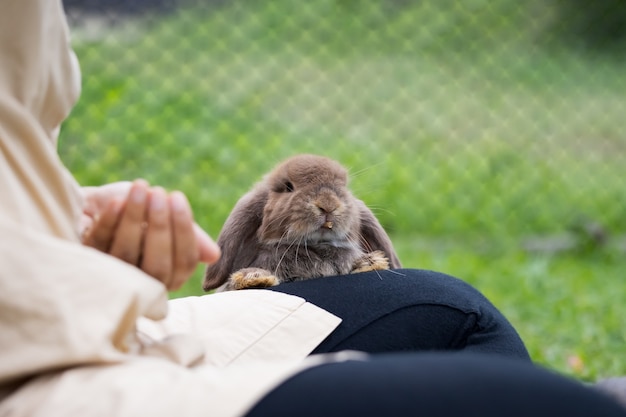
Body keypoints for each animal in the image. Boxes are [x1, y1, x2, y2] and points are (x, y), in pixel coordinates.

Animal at [202, 154, 402, 292]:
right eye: (288, 187)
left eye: (344, 186)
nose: (328, 204)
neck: (314, 247)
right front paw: (254, 278)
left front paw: (371, 263)